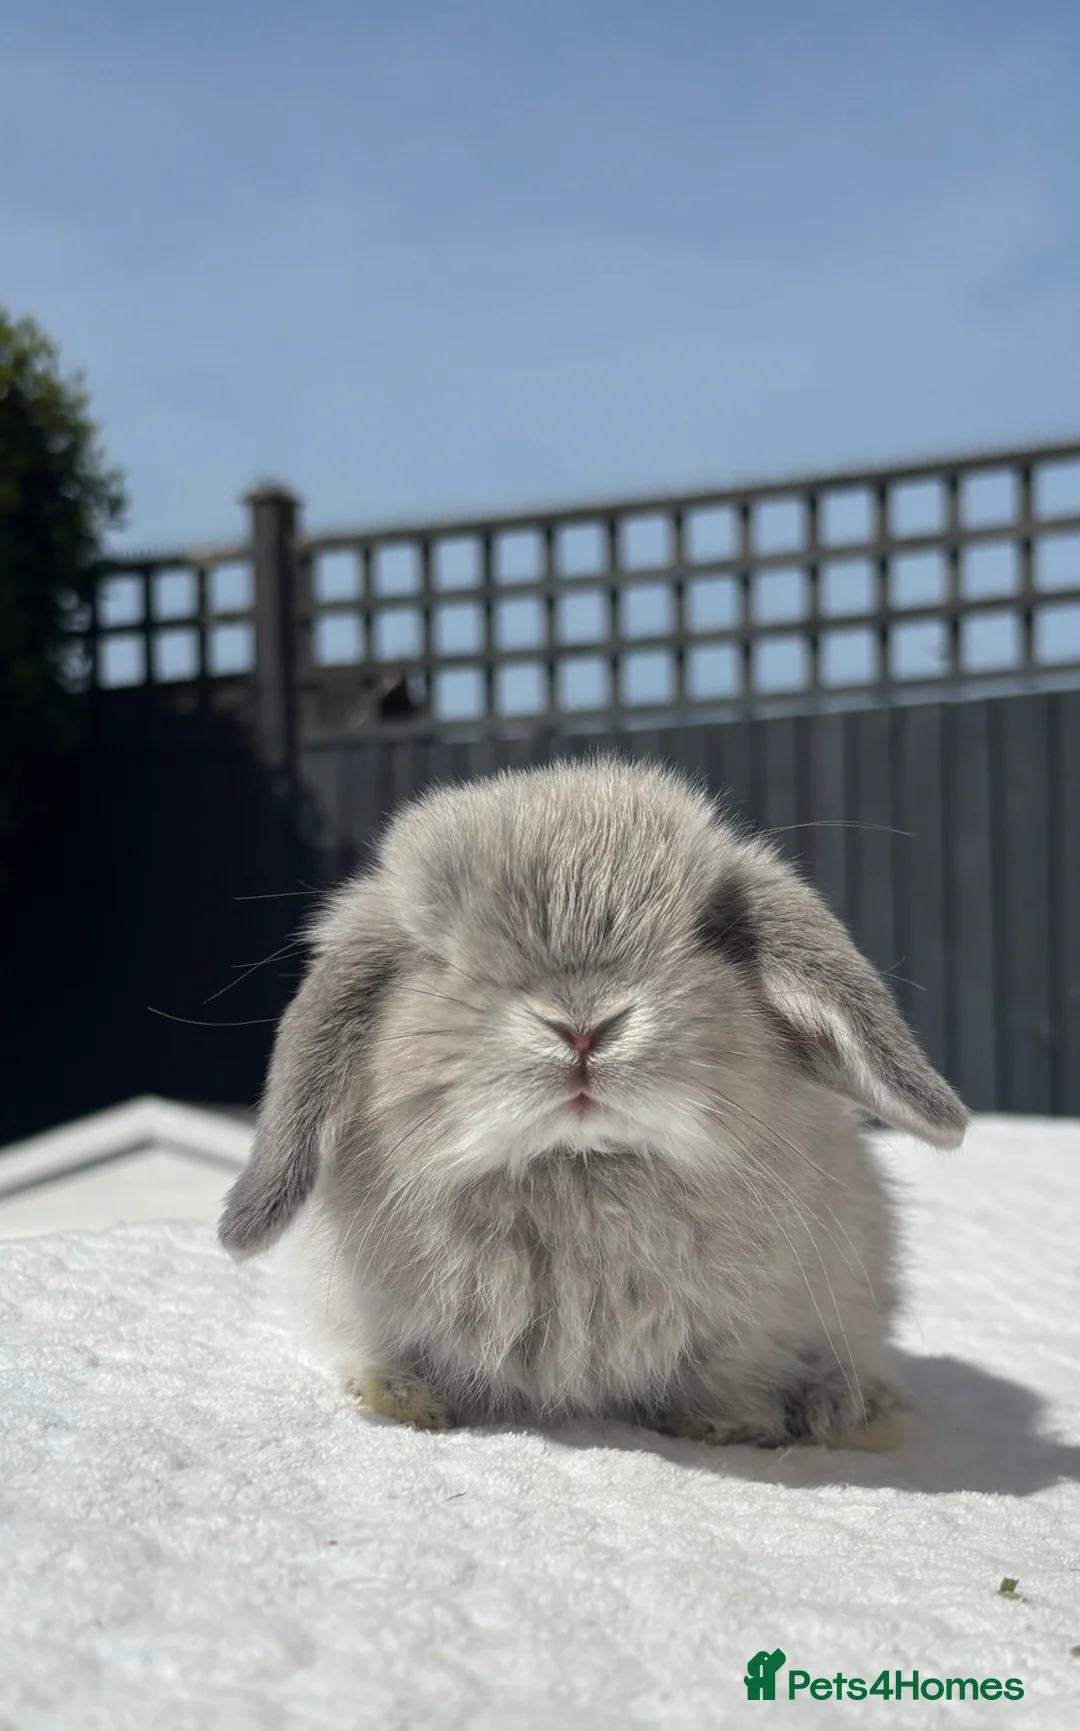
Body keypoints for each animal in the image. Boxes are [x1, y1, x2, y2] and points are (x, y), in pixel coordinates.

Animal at [219, 756, 967, 1449]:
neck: (578, 1164)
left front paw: (724, 1422)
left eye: (710, 935)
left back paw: (848, 1409)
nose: (583, 1025)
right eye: (436, 955)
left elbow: (735, 1376)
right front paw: (401, 1400)